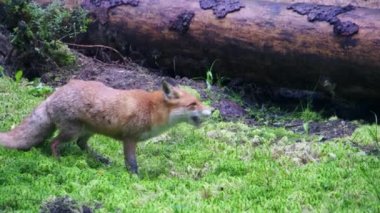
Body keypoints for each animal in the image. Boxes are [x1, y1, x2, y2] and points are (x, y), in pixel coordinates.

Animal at [0, 79, 214, 173]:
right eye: (192, 104)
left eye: (199, 101)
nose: (212, 111)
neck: (152, 110)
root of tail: (53, 94)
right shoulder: (130, 138)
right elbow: (132, 163)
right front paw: (135, 178)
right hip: (71, 131)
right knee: (54, 142)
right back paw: (59, 161)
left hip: (88, 131)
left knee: (81, 144)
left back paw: (100, 159)